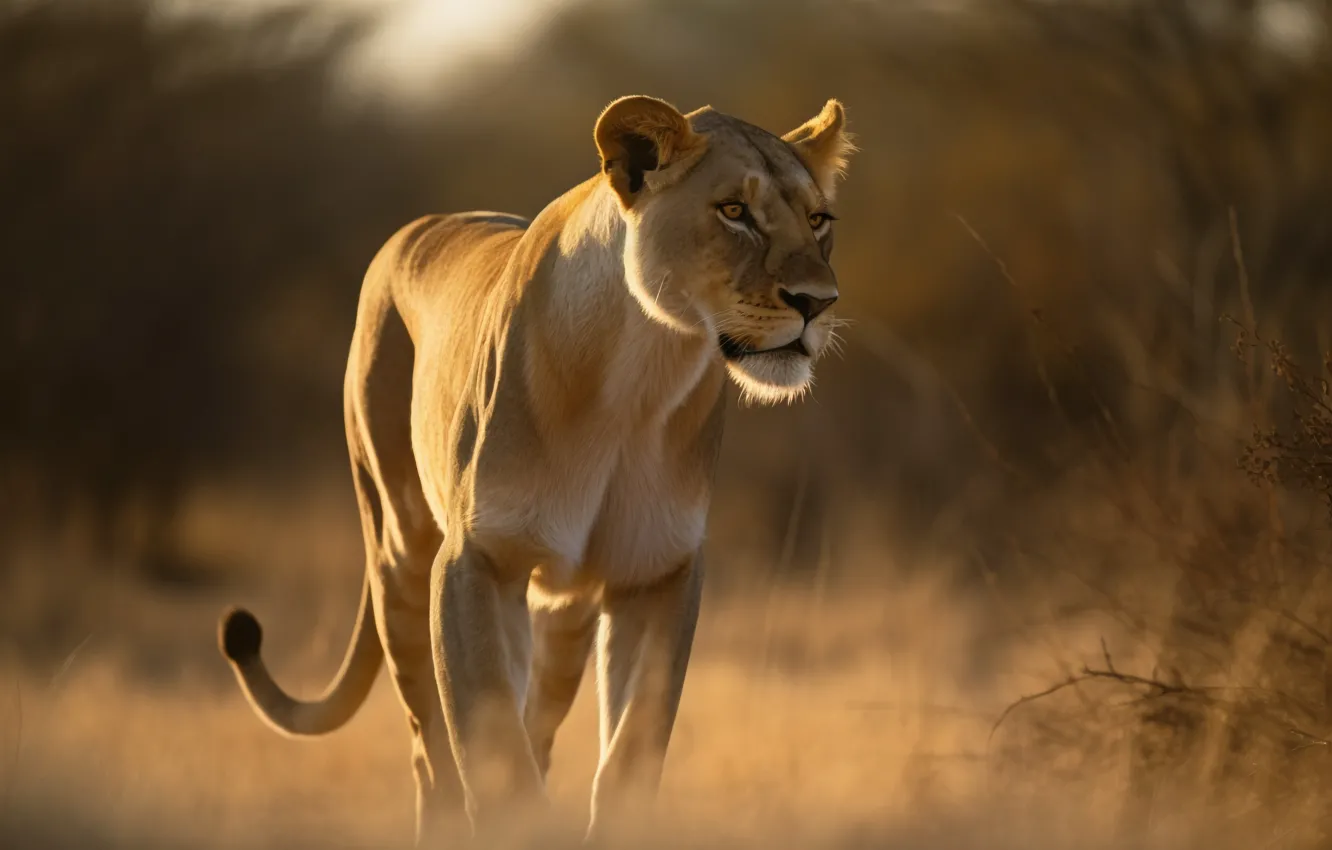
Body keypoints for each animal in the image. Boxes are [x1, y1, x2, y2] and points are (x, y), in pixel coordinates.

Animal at [217, 94, 853, 843]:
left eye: (819, 220)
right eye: (734, 211)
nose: (817, 302)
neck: (642, 372)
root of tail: (419, 226)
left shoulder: (659, 571)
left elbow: (630, 751)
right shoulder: (476, 562)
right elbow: (493, 755)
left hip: (566, 607)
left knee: (536, 725)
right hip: (399, 546)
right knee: (430, 750)